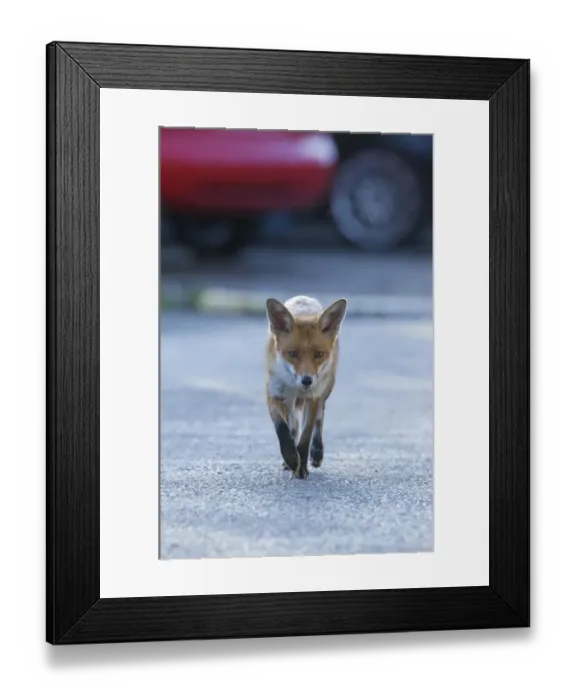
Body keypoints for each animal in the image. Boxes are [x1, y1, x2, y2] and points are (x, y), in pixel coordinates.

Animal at [265, 295, 347, 480]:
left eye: (319, 354)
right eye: (293, 354)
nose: (307, 380)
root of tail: (304, 298)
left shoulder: (313, 397)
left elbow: (305, 437)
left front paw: (301, 467)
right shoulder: (273, 394)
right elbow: (282, 428)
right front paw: (290, 457)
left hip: (325, 390)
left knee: (319, 420)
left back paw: (317, 452)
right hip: (289, 402)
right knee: (293, 425)